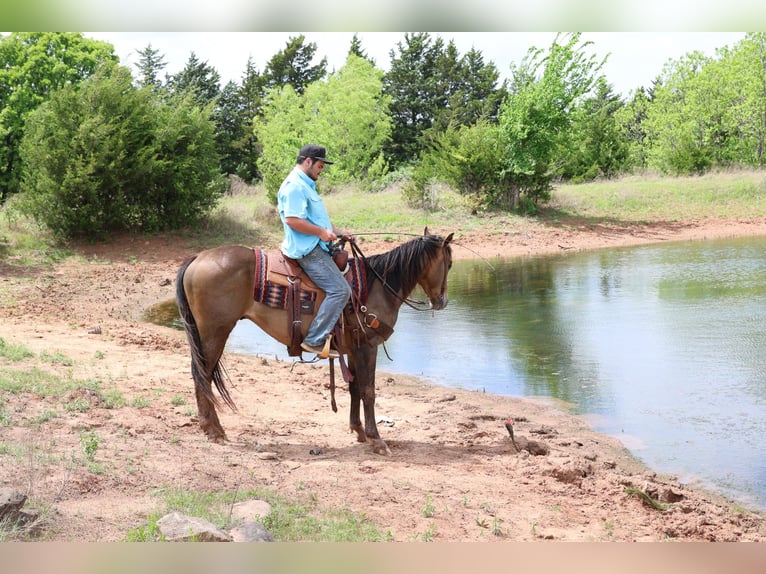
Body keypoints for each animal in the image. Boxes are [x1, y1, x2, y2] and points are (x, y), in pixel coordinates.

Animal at [175, 228, 454, 455]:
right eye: (449, 263)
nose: (442, 302)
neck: (378, 286)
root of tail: (197, 259)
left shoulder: (353, 349)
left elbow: (354, 388)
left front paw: (358, 430)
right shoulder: (368, 347)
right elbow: (368, 391)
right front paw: (376, 440)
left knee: (202, 375)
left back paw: (212, 428)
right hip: (214, 333)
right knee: (203, 375)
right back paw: (213, 430)